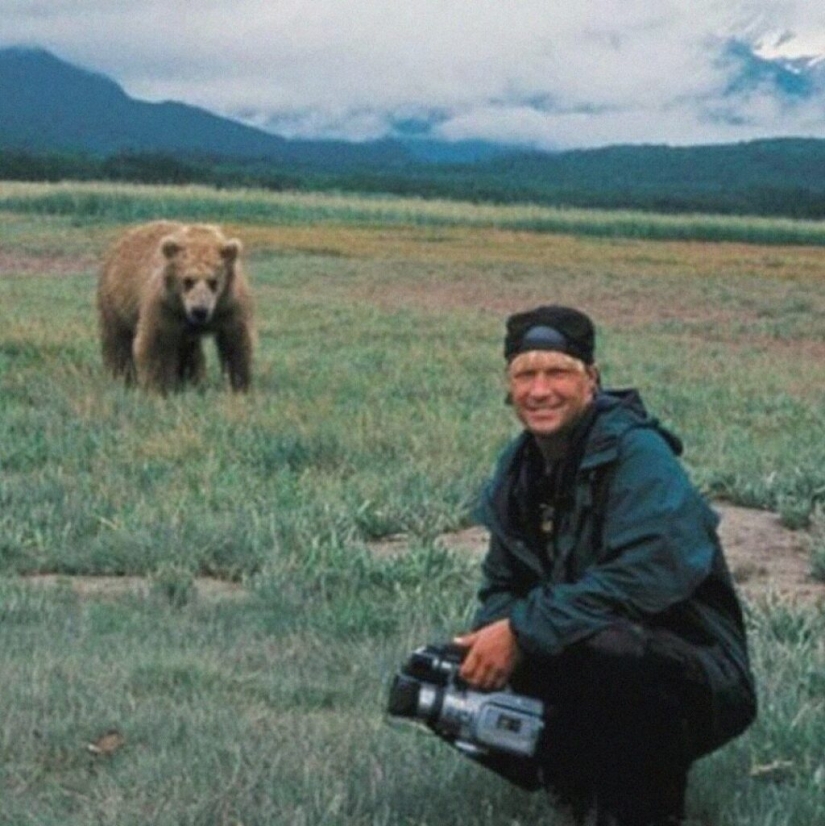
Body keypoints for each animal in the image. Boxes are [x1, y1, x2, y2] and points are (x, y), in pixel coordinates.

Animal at [97, 221, 255, 394]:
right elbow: (156, 345)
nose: (199, 311)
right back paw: (121, 377)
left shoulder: (230, 306)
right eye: (187, 280)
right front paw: (158, 388)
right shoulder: (165, 306)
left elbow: (236, 344)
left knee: (189, 351)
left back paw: (192, 380)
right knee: (117, 340)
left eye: (214, 281)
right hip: (115, 301)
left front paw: (239, 386)